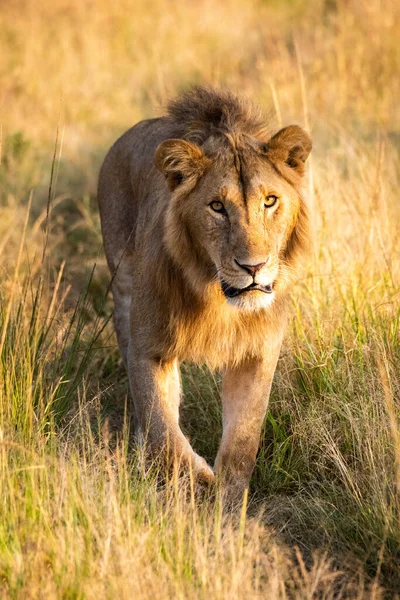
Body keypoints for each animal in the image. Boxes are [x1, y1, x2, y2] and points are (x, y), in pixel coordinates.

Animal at [97, 86, 312, 500]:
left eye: (270, 201)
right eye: (216, 207)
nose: (253, 267)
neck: (217, 298)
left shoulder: (258, 353)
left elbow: (243, 440)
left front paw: (228, 502)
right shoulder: (149, 347)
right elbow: (164, 431)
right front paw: (197, 480)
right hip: (123, 288)